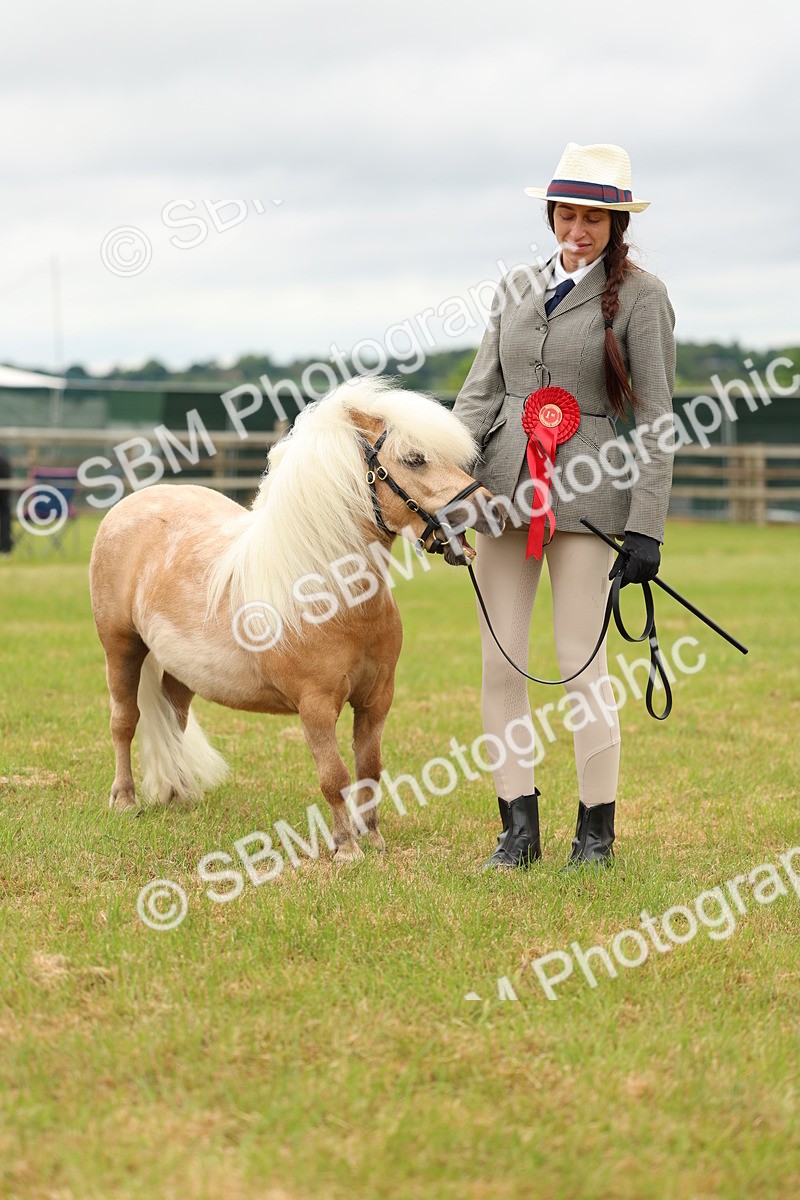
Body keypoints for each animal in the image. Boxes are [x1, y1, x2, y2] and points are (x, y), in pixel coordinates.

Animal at [89, 377, 502, 861]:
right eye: (414, 458)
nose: (492, 509)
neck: (334, 597)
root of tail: (132, 503)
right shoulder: (316, 707)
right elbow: (334, 776)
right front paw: (345, 848)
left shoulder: (377, 700)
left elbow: (369, 768)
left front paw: (373, 838)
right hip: (120, 647)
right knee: (124, 720)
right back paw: (125, 800)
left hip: (180, 669)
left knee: (174, 717)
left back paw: (180, 795)